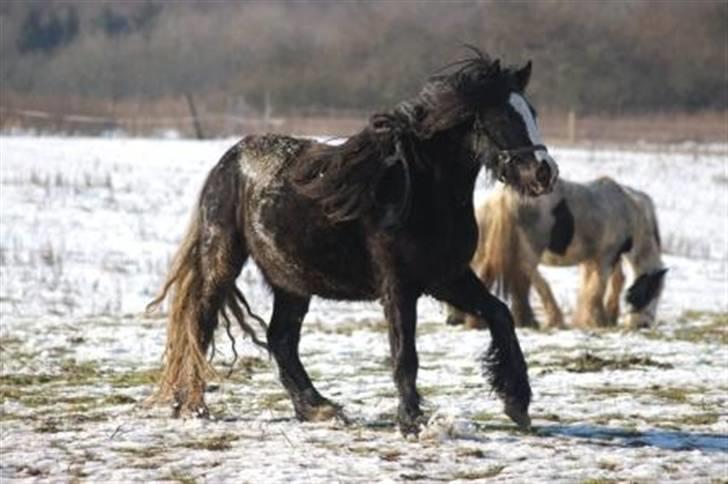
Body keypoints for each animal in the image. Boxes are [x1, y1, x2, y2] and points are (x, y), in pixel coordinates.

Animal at [148, 51, 556, 436]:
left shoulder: (447, 276)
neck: (418, 191)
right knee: (201, 322)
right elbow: (405, 353)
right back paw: (193, 406)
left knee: (281, 339)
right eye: (503, 117)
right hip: (223, 260)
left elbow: (500, 314)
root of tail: (228, 161)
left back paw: (318, 409)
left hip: (291, 280)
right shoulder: (399, 285)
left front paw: (517, 402)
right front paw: (413, 422)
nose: (544, 173)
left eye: (533, 112)